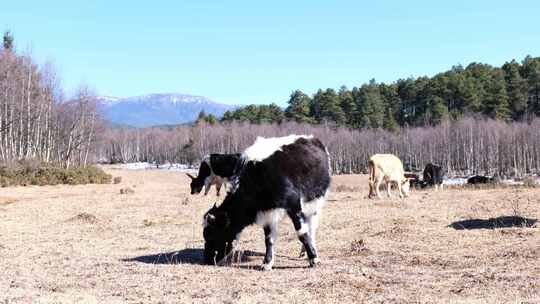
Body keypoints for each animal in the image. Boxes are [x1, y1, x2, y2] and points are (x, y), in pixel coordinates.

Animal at [201, 135, 330, 270]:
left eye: (210, 233)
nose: (207, 260)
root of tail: (312, 139)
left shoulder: (294, 206)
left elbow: (302, 234)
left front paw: (314, 259)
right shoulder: (267, 212)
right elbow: (269, 238)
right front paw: (267, 263)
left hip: (315, 202)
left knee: (311, 228)